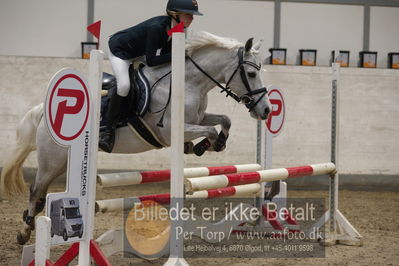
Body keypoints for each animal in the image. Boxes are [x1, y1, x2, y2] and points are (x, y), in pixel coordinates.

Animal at [0, 30, 272, 244]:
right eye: (251, 73)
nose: (266, 110)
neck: (189, 83)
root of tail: (43, 112)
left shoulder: (198, 117)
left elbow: (224, 120)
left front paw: (211, 144)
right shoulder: (169, 131)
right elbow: (210, 130)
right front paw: (206, 144)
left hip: (64, 161)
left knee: (43, 193)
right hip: (52, 160)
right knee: (37, 191)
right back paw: (24, 232)